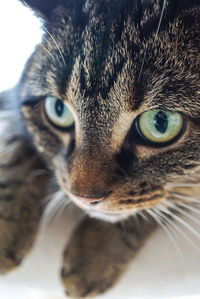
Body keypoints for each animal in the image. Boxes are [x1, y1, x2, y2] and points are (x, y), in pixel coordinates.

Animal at [0, 0, 200, 298]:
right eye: (57, 110)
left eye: (161, 122)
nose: (83, 198)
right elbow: (13, 139)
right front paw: (6, 227)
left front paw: (95, 255)